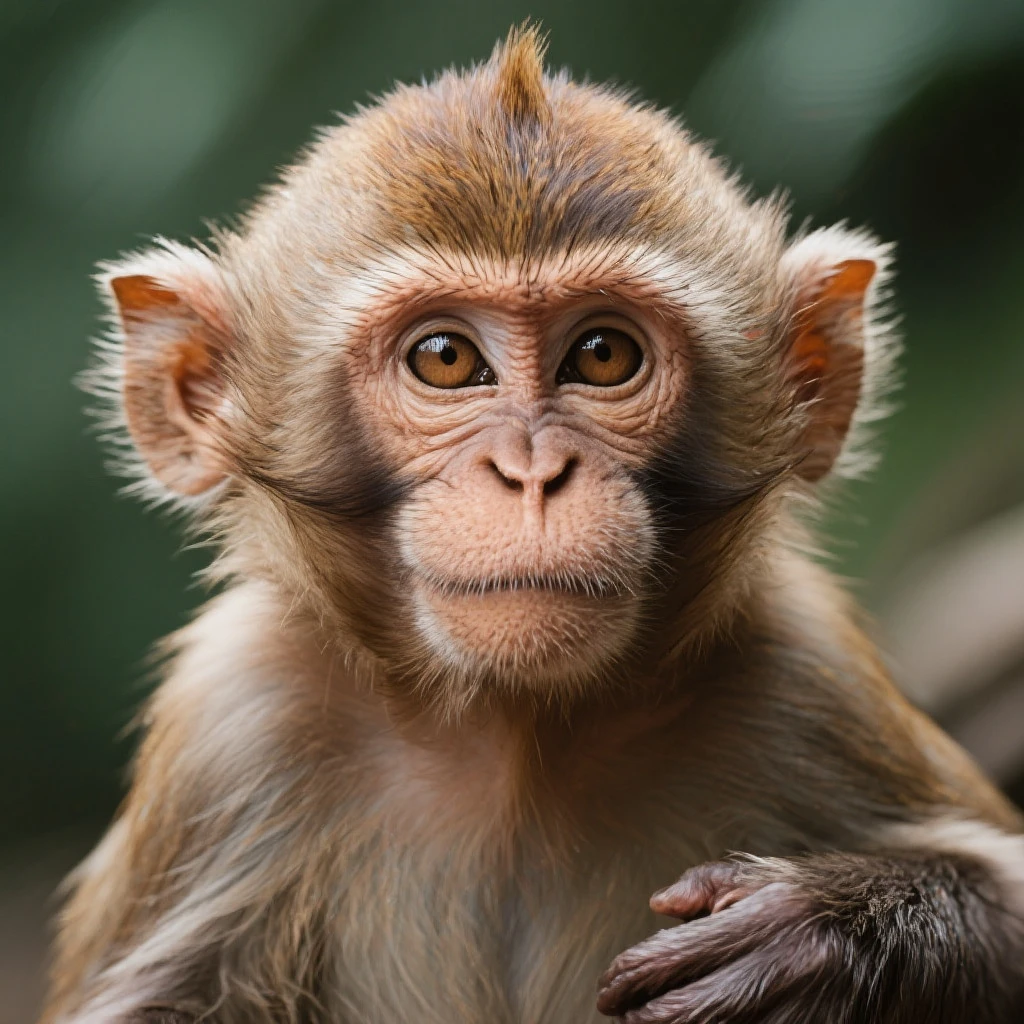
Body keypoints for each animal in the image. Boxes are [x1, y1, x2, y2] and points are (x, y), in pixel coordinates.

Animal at [42, 24, 1024, 1024]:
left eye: (603, 354)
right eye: (444, 358)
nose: (532, 474)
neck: (516, 735)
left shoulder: (809, 670)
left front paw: (822, 931)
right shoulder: (234, 720)